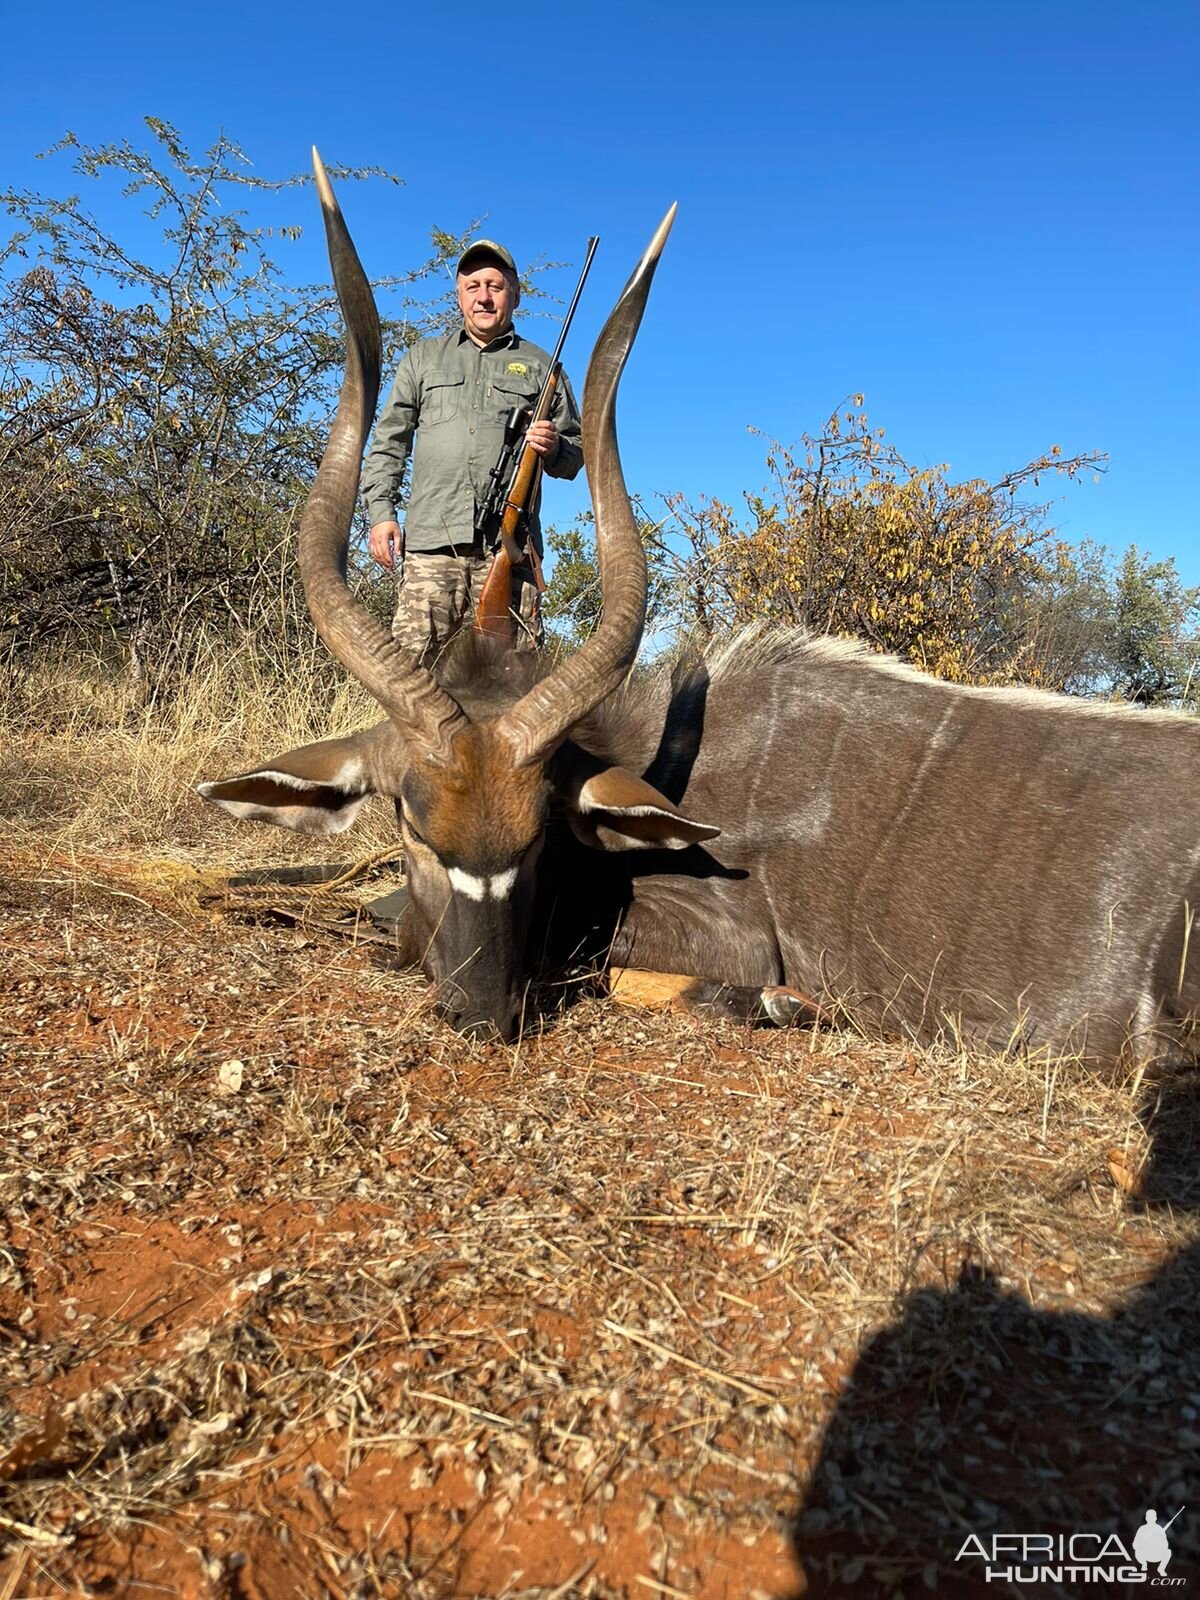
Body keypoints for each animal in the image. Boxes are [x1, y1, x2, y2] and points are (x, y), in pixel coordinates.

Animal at [202, 156, 1196, 1068]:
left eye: (540, 837)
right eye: (410, 822)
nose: (479, 1012)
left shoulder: (726, 931)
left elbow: (587, 962)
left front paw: (781, 1004)